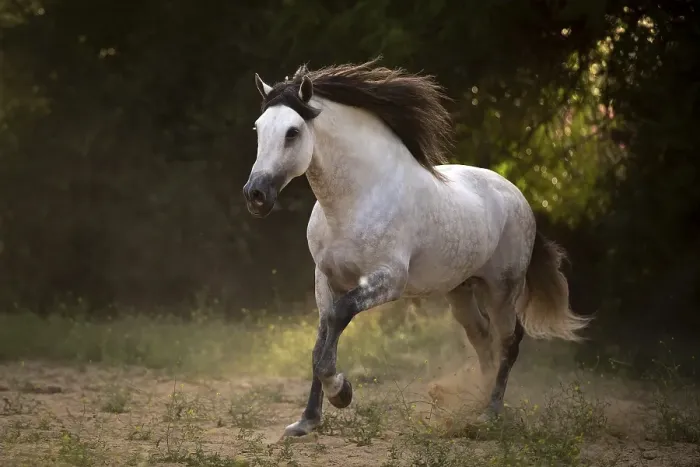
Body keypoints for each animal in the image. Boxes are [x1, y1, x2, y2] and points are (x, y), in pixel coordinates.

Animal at [243, 59, 591, 437]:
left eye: (292, 132)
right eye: (259, 128)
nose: (255, 195)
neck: (357, 199)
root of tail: (517, 195)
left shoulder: (388, 280)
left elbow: (336, 322)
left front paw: (342, 393)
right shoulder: (325, 278)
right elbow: (321, 339)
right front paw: (306, 421)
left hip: (502, 288)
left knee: (509, 342)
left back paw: (490, 413)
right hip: (460, 290)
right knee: (482, 337)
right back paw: (474, 402)